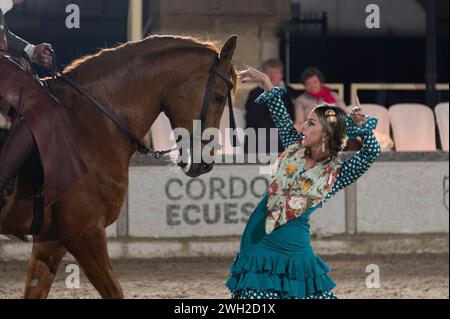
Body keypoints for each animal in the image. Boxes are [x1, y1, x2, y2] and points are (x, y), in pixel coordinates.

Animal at [0, 33, 239, 298]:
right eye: (218, 96)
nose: (205, 163)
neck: (87, 125)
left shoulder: (51, 240)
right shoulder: (85, 233)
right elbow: (114, 291)